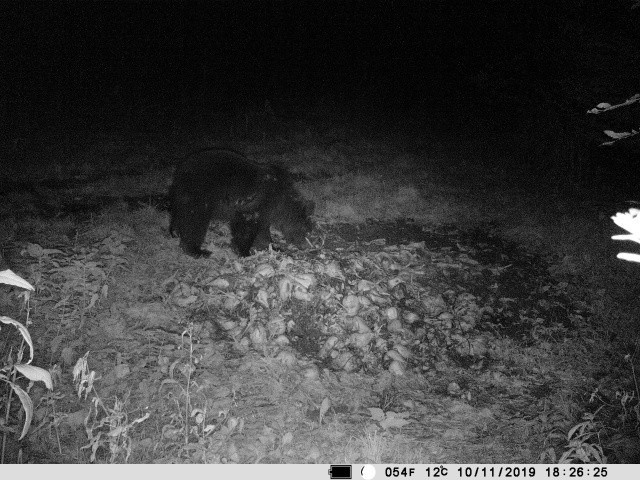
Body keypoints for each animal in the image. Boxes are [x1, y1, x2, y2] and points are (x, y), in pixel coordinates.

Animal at [168, 148, 312, 256]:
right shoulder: (257, 202)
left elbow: (262, 229)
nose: (306, 246)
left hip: (183, 196)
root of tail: (180, 170)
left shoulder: (265, 210)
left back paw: (175, 232)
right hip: (200, 192)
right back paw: (196, 250)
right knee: (195, 221)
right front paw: (244, 251)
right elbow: (246, 226)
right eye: (306, 231)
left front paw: (271, 246)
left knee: (180, 214)